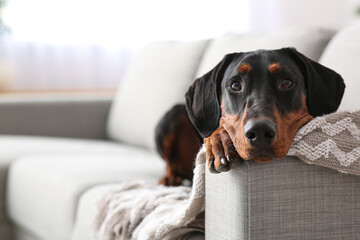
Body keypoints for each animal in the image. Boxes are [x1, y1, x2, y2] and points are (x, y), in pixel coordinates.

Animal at [155, 47, 346, 185]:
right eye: (235, 85)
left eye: (286, 82)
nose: (259, 132)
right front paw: (219, 143)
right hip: (170, 118)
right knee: (170, 163)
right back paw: (169, 178)